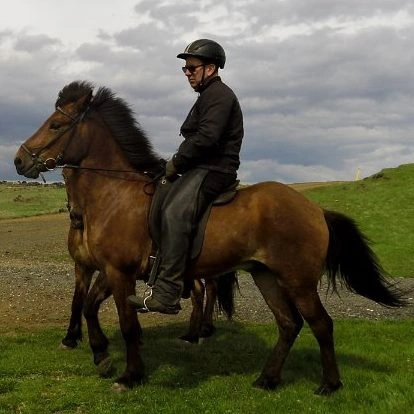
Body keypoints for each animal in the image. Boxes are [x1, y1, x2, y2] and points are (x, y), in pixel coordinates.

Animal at [14, 80, 406, 394]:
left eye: (56, 124)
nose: (18, 160)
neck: (114, 194)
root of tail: (315, 209)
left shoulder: (119, 272)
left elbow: (126, 324)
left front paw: (130, 375)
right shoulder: (107, 271)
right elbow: (89, 307)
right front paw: (100, 354)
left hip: (298, 280)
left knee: (321, 324)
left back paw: (329, 384)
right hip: (266, 276)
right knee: (288, 324)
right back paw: (267, 379)